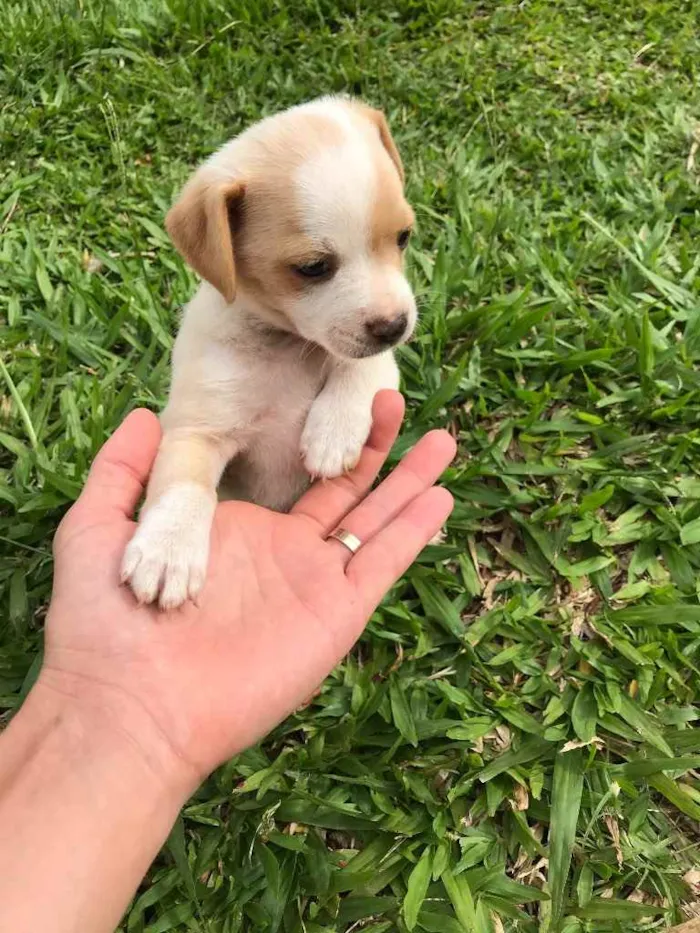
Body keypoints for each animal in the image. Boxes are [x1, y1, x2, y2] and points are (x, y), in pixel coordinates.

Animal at [120, 94, 416, 608]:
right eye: (313, 267)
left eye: (403, 238)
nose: (396, 326)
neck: (289, 345)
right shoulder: (198, 428)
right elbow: (183, 486)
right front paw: (167, 551)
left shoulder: (377, 360)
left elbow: (363, 367)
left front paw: (333, 431)